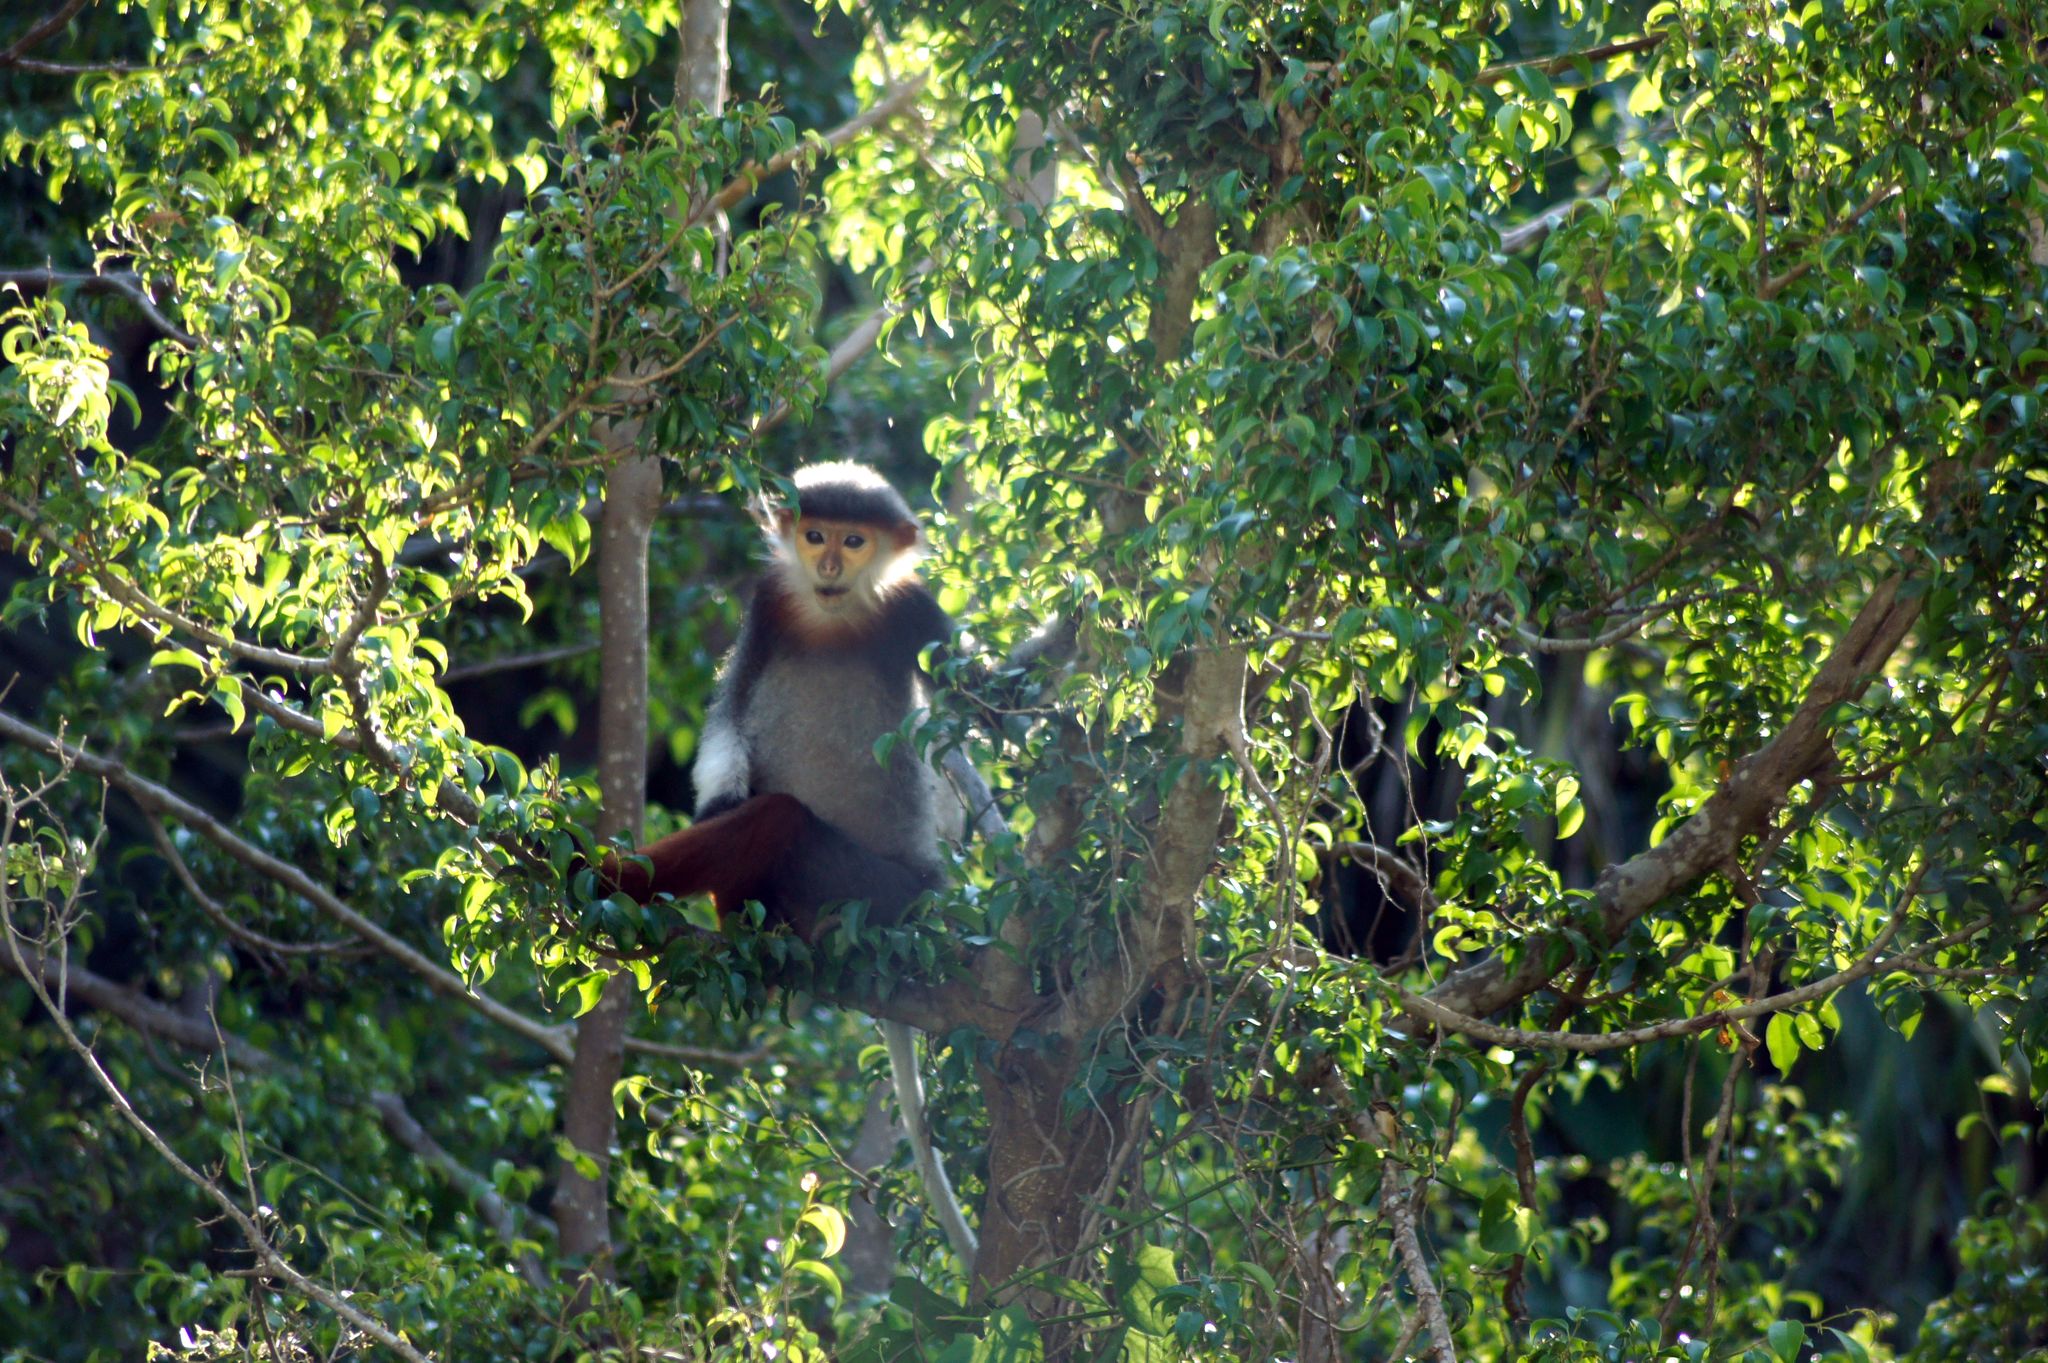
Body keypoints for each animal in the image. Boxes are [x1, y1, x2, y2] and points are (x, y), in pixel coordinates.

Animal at [589, 458, 978, 1260]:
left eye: (855, 540)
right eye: (816, 535)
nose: (828, 564)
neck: (834, 614)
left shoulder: (917, 612)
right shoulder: (770, 604)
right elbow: (731, 715)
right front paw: (712, 804)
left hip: (873, 891)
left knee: (783, 818)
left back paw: (608, 880)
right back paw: (745, 925)